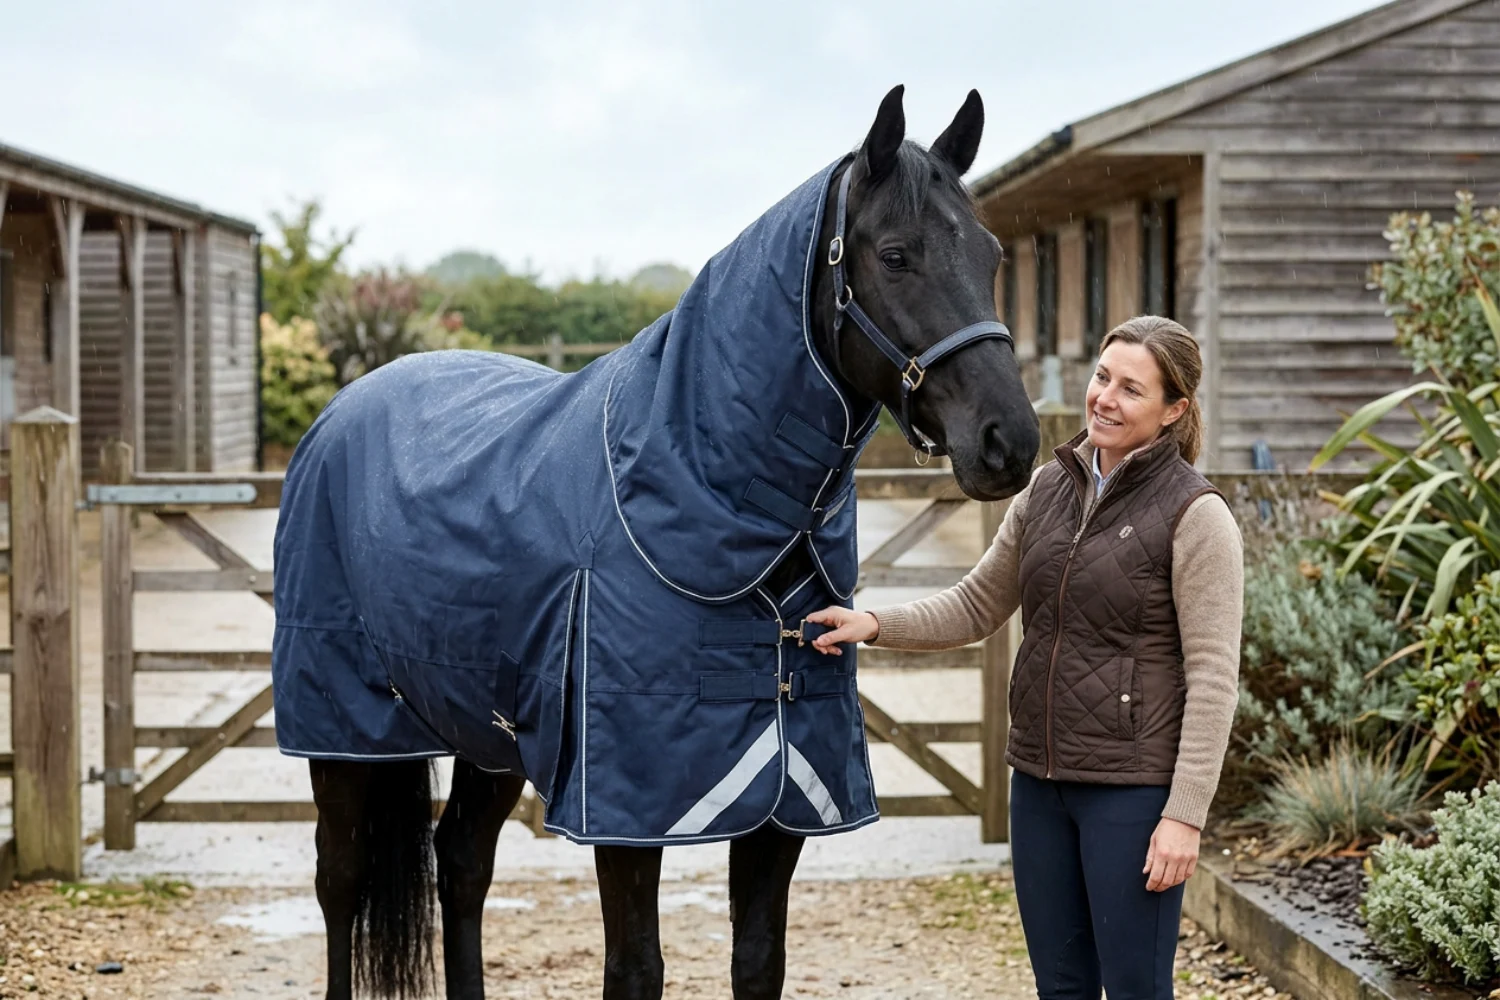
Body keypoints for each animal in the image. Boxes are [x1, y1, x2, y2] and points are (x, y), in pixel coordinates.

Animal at [271, 84, 1040, 1000]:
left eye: (992, 256)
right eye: (895, 255)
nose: (1010, 442)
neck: (695, 486)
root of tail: (341, 411)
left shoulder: (783, 806)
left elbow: (759, 961)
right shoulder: (629, 813)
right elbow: (635, 969)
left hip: (487, 731)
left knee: (460, 862)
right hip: (342, 726)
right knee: (341, 880)